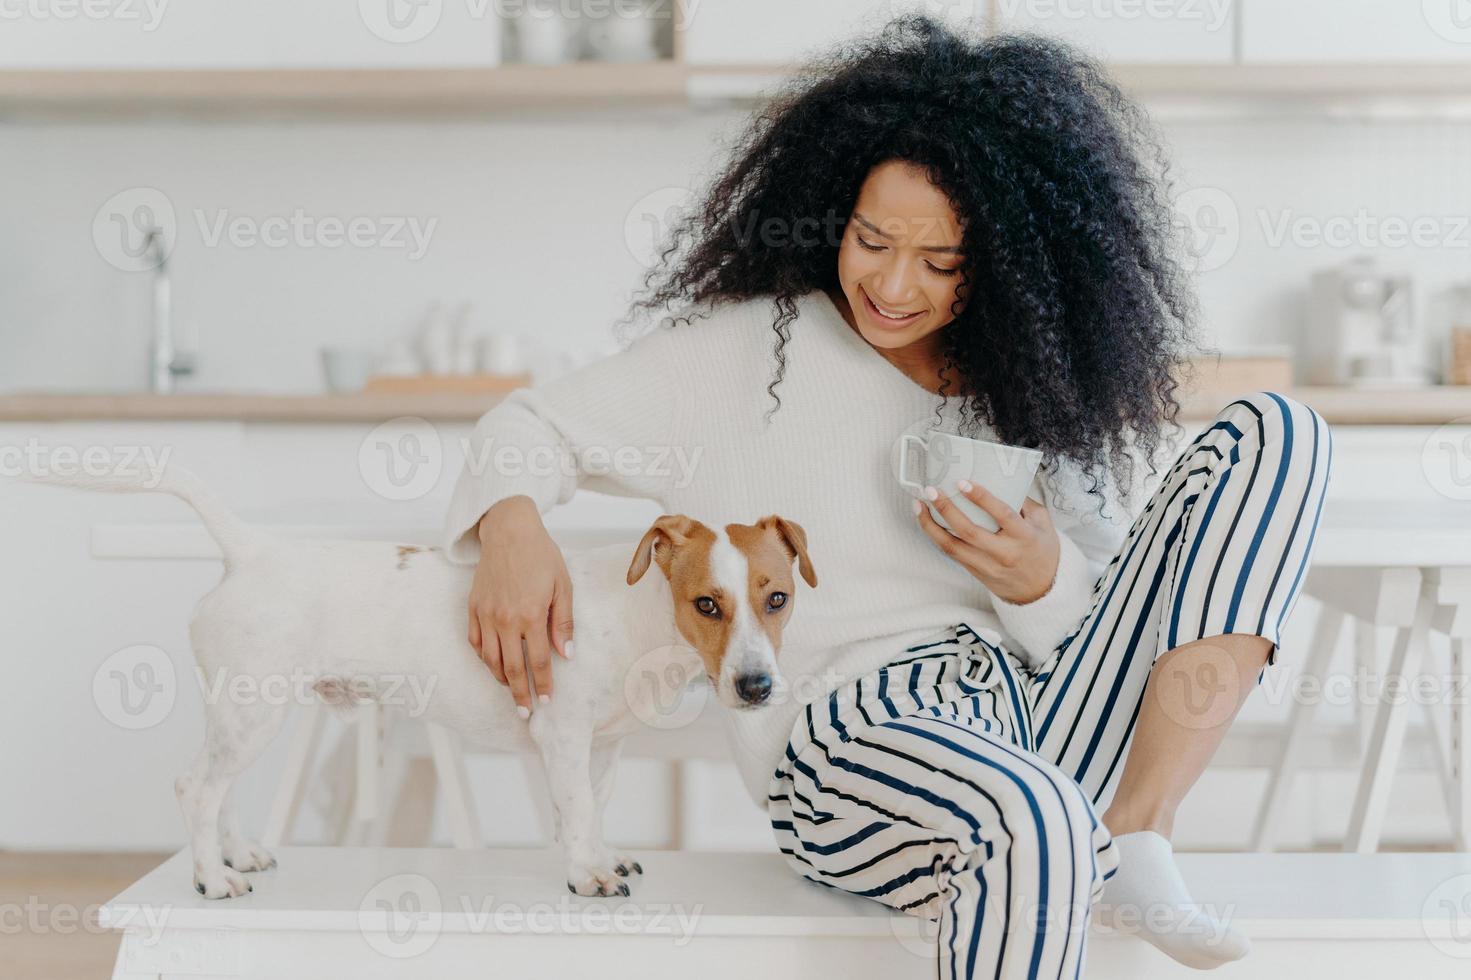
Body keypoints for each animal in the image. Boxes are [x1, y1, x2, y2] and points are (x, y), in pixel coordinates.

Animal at [31, 462, 817, 894]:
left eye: (778, 599)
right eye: (706, 604)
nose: (756, 688)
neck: (638, 620)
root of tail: (252, 548)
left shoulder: (603, 750)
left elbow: (588, 810)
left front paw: (599, 857)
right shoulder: (562, 738)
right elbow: (575, 811)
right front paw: (585, 874)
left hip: (239, 715)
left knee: (216, 790)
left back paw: (236, 853)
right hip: (254, 715)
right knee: (194, 787)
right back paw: (211, 877)